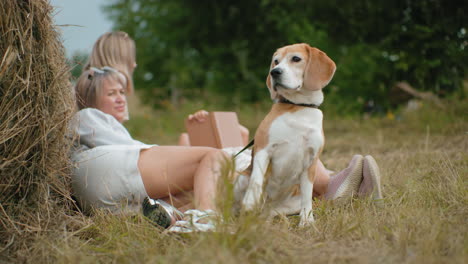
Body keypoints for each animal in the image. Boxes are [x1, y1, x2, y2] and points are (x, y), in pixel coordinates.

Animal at [238, 43, 336, 227]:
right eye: (276, 61)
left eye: (296, 58)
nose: (274, 72)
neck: (299, 107)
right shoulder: (263, 149)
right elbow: (256, 179)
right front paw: (250, 201)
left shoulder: (311, 161)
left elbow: (307, 196)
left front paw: (307, 221)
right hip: (240, 178)